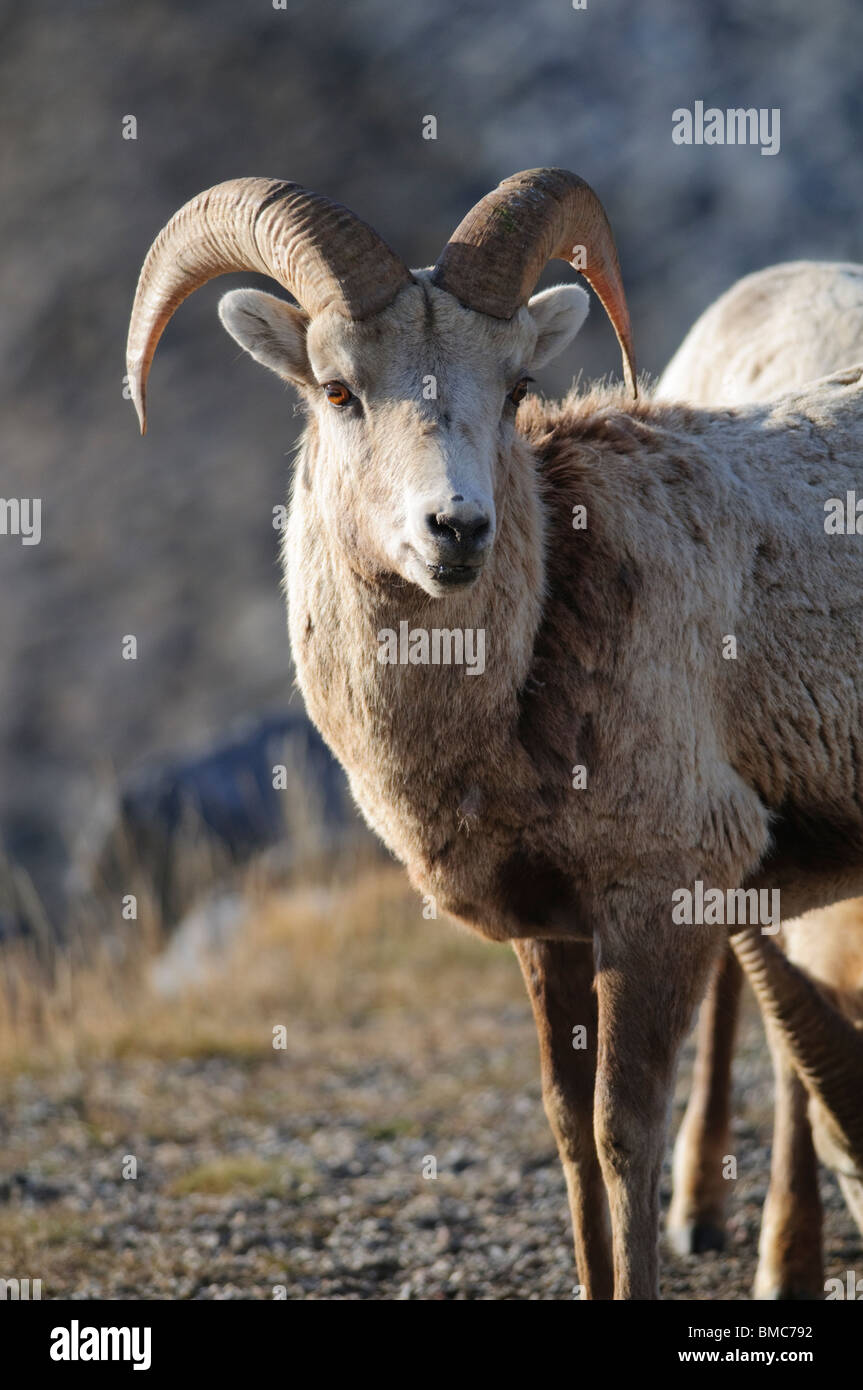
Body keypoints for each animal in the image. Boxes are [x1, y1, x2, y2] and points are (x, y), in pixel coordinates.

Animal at [126, 170, 863, 1289]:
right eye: (338, 390)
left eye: (514, 386)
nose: (456, 530)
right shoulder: (548, 931)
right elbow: (566, 1134)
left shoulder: (657, 904)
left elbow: (621, 1134)